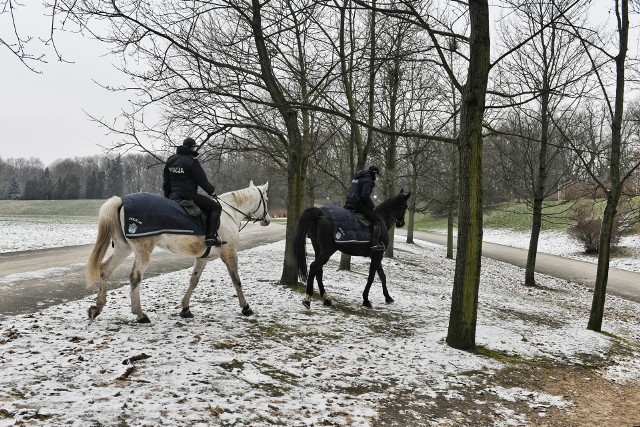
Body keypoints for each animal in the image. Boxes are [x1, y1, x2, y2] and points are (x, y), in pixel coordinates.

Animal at [85, 181, 270, 324]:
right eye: (266, 200)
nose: (267, 220)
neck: (229, 214)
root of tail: (122, 201)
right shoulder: (229, 254)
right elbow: (236, 281)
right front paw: (246, 307)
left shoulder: (202, 258)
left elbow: (193, 281)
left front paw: (185, 308)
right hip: (143, 251)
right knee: (135, 277)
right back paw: (140, 314)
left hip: (124, 248)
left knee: (105, 269)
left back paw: (97, 307)